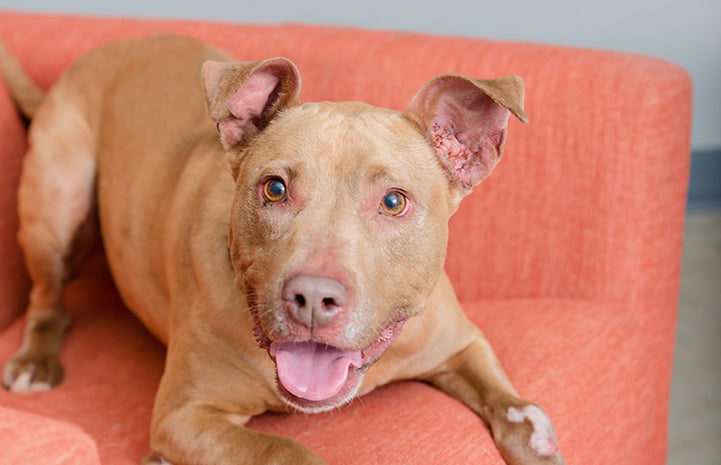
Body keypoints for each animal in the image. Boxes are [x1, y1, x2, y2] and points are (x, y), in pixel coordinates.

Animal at [0, 36, 564, 464]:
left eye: (394, 201)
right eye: (274, 189)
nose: (313, 297)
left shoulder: (460, 344)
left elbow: (515, 407)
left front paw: (535, 438)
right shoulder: (185, 415)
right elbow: (285, 450)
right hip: (57, 199)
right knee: (47, 297)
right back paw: (34, 361)